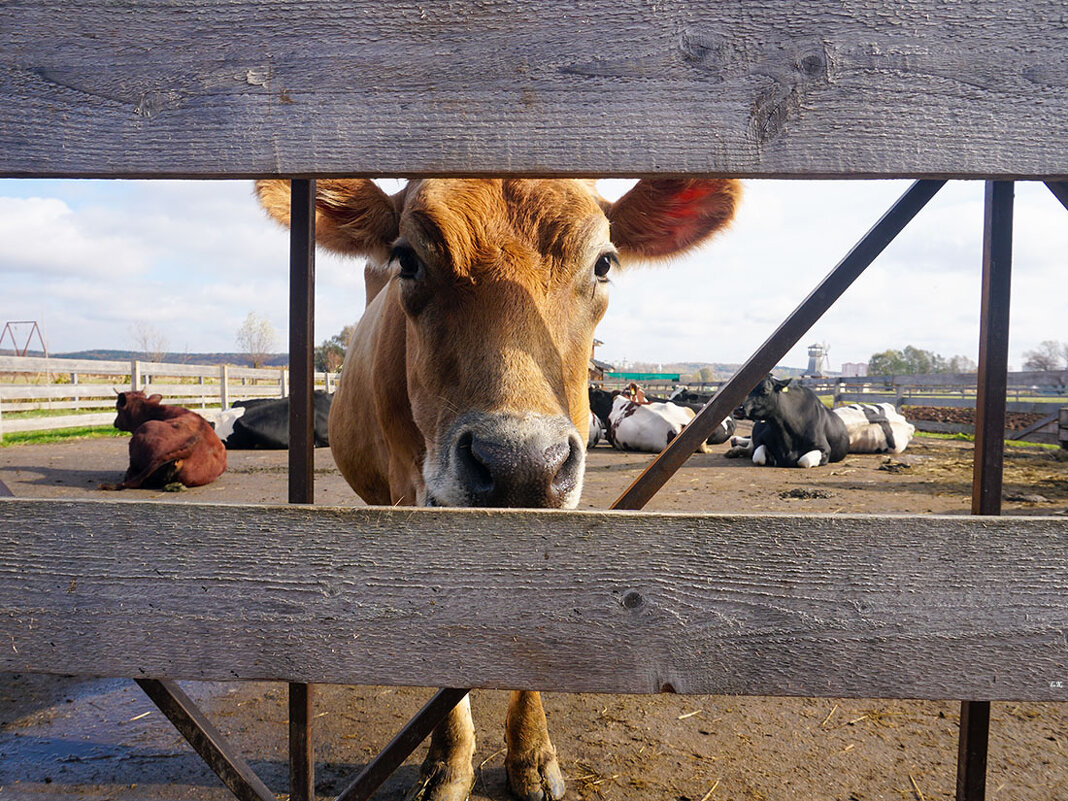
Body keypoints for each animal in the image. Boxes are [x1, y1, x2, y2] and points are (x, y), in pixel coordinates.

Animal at [726, 378, 918, 469]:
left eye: (764, 390)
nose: (738, 409)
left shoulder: (824, 450)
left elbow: (804, 461)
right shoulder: (762, 439)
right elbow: (758, 457)